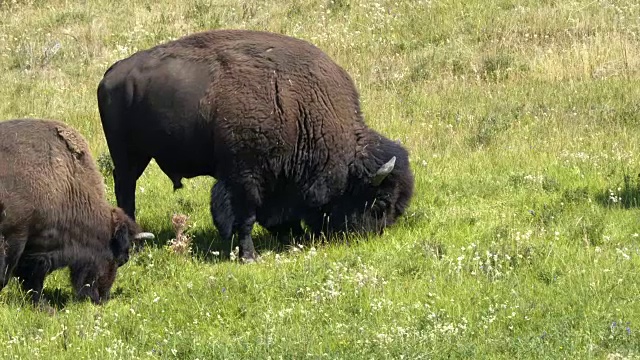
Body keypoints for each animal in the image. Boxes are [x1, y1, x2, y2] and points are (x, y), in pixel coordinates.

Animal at [95, 28, 416, 262]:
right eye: (380, 203)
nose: (372, 237)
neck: (300, 107)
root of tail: (111, 74)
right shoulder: (245, 177)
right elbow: (246, 216)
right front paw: (248, 256)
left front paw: (291, 238)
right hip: (129, 157)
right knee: (126, 191)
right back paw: (135, 244)